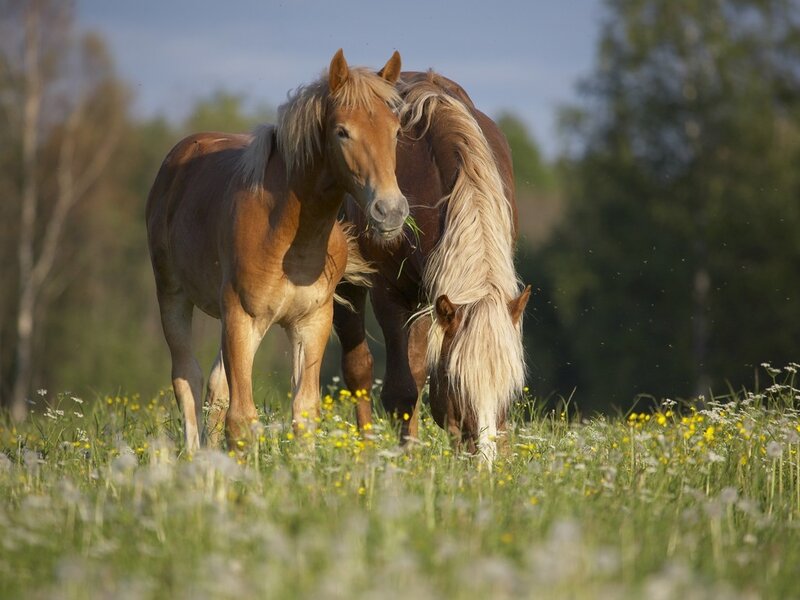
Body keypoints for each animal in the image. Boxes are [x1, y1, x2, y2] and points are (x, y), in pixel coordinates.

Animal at [146, 49, 408, 451]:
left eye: (396, 131)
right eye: (342, 131)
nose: (390, 210)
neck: (288, 236)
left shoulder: (311, 322)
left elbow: (304, 412)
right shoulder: (241, 316)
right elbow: (241, 418)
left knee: (215, 387)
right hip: (175, 297)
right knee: (186, 379)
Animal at [333, 71, 530, 463]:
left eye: (511, 388)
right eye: (457, 383)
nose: (485, 462)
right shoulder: (390, 294)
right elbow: (401, 391)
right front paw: (407, 462)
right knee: (359, 369)